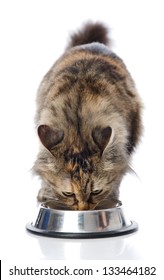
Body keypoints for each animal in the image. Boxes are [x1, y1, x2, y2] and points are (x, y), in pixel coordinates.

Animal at [33, 21, 142, 210]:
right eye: (68, 194)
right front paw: (46, 192)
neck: (78, 130)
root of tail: (94, 44)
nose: (83, 210)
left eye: (96, 192)